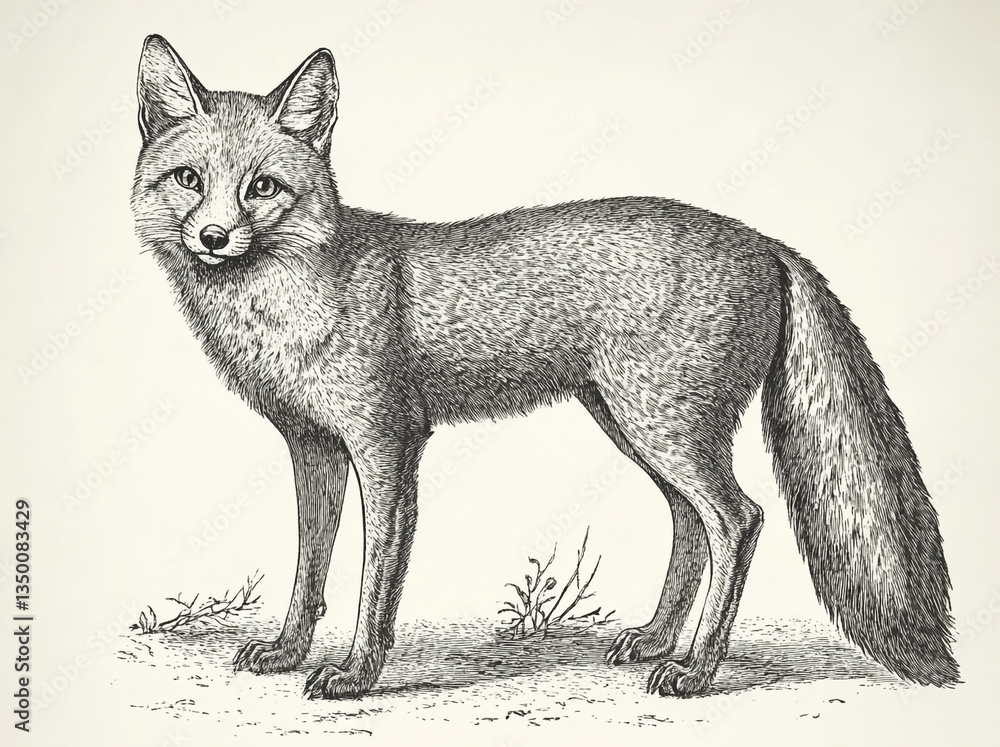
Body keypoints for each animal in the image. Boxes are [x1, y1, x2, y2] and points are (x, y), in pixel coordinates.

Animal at [131, 35, 958, 699]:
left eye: (262, 187)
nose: (213, 237)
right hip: (637, 429)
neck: (288, 304)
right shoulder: (312, 447)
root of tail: (765, 240)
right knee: (691, 523)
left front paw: (357, 674)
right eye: (189, 179)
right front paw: (286, 650)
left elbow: (373, 581)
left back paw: (696, 670)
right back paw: (657, 639)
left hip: (664, 431)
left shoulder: (388, 444)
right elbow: (309, 566)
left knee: (741, 518)